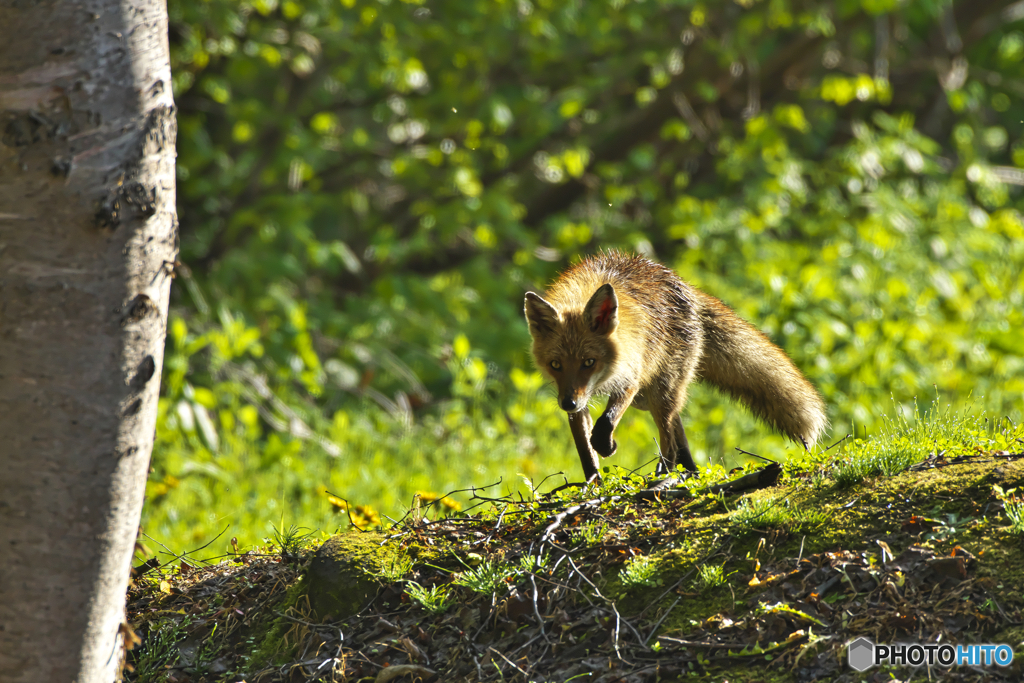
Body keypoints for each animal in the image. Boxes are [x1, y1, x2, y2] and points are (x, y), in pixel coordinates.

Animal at [524, 250, 827, 481]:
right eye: (555, 364)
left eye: (589, 362)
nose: (568, 403)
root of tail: (684, 284)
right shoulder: (580, 399)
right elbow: (585, 450)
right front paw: (593, 484)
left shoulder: (631, 377)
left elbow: (604, 425)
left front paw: (607, 446)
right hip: (649, 399)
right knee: (677, 428)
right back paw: (689, 471)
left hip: (660, 391)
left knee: (668, 437)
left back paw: (664, 475)